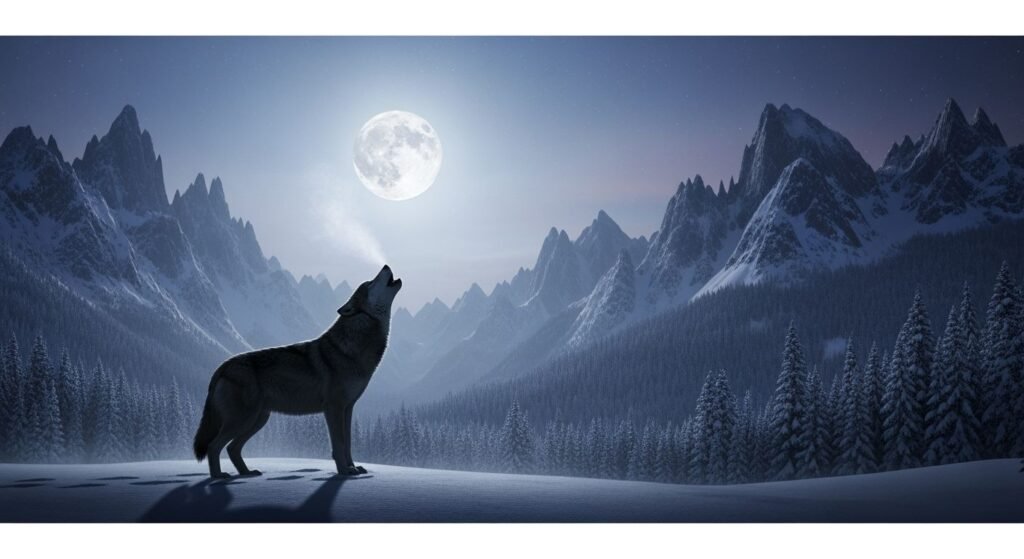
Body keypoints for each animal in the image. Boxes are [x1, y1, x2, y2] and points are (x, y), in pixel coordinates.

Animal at [193, 264, 402, 478]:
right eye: (370, 283)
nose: (386, 266)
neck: (352, 346)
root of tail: (222, 366)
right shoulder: (333, 408)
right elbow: (339, 444)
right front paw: (344, 471)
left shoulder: (348, 408)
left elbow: (348, 443)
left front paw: (353, 468)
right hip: (243, 420)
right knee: (214, 446)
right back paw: (218, 477)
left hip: (258, 420)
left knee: (232, 448)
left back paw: (247, 473)